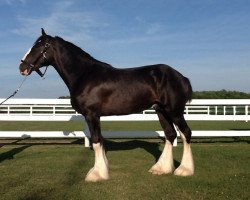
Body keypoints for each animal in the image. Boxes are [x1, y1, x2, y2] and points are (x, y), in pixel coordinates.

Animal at [20, 28, 195, 182]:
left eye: (39, 46)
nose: (22, 67)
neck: (84, 75)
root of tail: (181, 77)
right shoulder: (95, 116)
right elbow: (100, 140)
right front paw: (103, 169)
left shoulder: (91, 114)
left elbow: (96, 140)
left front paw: (96, 174)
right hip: (161, 111)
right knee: (170, 134)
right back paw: (161, 168)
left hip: (174, 111)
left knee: (186, 133)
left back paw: (184, 170)